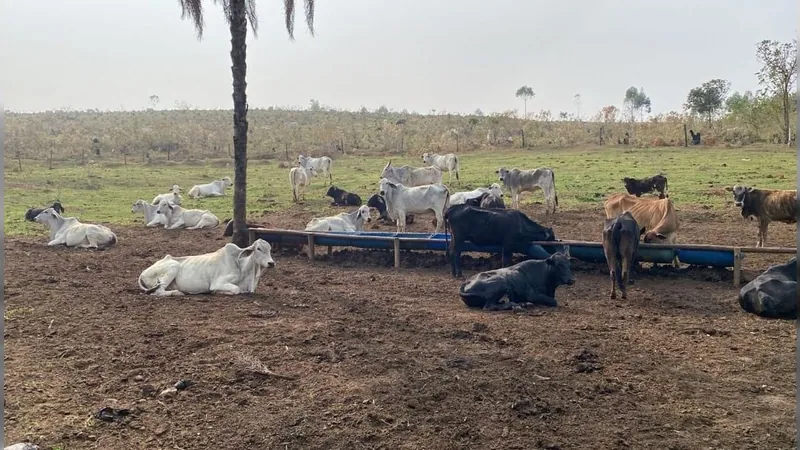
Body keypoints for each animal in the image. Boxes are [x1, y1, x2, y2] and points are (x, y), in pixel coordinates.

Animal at [138, 237, 276, 298]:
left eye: (270, 249)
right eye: (258, 248)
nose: (271, 263)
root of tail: (143, 272)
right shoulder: (218, 283)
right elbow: (236, 289)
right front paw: (218, 292)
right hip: (173, 267)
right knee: (159, 291)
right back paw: (177, 292)